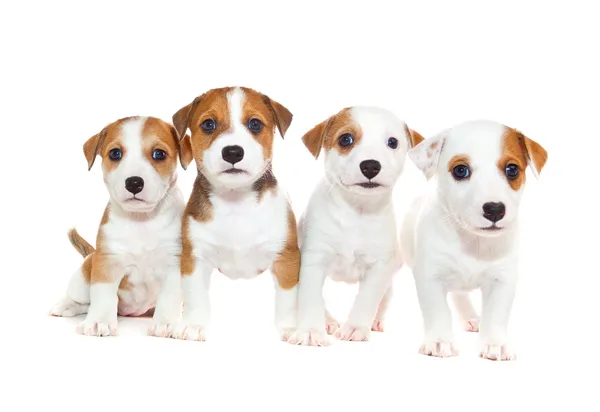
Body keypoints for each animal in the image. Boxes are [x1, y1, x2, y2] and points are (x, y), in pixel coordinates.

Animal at [50, 114, 195, 336]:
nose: (134, 183)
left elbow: (169, 297)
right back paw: (66, 305)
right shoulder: (108, 262)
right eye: (115, 153)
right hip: (83, 278)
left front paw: (166, 323)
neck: (141, 221)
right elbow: (103, 295)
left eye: (159, 154)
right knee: (82, 300)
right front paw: (99, 321)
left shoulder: (174, 263)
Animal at [164, 85, 300, 340]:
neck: (236, 201)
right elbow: (196, 296)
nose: (233, 152)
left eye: (255, 124)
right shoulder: (194, 257)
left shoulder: (286, 258)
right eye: (208, 124)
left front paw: (291, 327)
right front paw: (193, 325)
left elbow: (288, 299)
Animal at [288, 105, 424, 344]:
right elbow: (311, 299)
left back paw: (375, 321)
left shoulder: (378, 267)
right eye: (346, 139)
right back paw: (328, 322)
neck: (356, 212)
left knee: (386, 296)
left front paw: (355, 327)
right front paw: (311, 330)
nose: (370, 166)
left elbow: (367, 299)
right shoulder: (313, 260)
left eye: (392, 142)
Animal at [398, 119, 548, 360]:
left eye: (512, 169)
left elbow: (496, 314)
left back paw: (471, 318)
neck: (473, 242)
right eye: (461, 170)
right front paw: (440, 341)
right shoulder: (430, 276)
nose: (495, 209)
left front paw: (495, 343)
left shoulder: (503, 279)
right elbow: (437, 309)